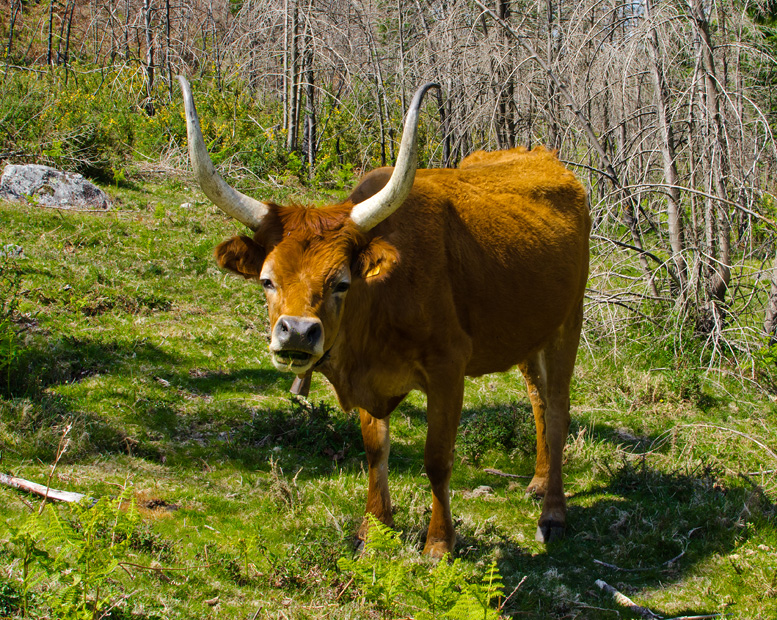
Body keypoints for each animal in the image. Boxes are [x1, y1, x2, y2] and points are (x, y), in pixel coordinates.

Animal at [177, 77, 588, 556]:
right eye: (267, 280)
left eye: (341, 282)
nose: (296, 333)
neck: (380, 303)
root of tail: (541, 156)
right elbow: (376, 450)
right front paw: (373, 529)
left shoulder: (448, 369)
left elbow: (437, 459)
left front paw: (438, 543)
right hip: (529, 330)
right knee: (538, 399)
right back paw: (538, 482)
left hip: (568, 323)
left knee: (557, 410)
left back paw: (553, 513)